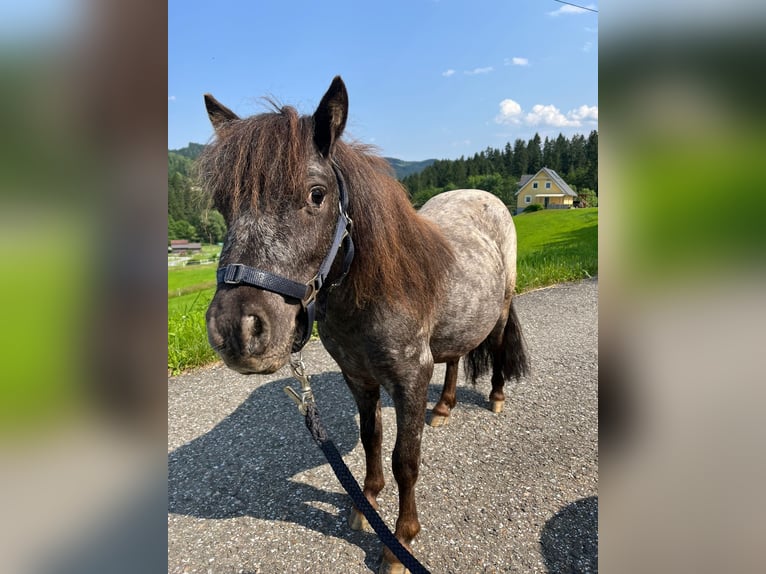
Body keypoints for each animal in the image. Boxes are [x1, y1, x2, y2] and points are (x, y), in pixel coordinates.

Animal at [201, 77, 532, 574]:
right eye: (225, 204)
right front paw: (366, 503)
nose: (236, 330)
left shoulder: (411, 377)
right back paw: (444, 406)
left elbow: (405, 460)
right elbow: (371, 437)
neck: (372, 293)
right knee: (455, 359)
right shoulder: (358, 376)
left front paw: (400, 542)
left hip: (501, 307)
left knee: (493, 346)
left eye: (316, 194)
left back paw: (494, 397)